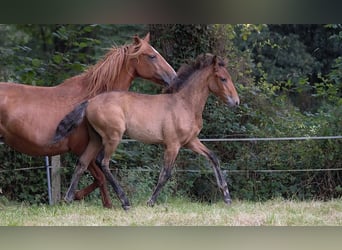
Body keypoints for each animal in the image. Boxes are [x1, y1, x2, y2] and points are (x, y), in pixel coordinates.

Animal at [0, 33, 176, 209]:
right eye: (152, 56)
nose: (174, 77)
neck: (92, 98)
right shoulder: (82, 148)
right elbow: (100, 177)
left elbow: (97, 177)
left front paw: (100, 203)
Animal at [54, 53, 240, 209]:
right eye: (223, 78)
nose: (236, 102)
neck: (185, 104)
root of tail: (90, 101)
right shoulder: (173, 145)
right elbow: (165, 174)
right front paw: (150, 201)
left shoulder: (190, 142)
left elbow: (213, 157)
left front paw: (227, 197)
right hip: (113, 137)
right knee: (103, 162)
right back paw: (125, 202)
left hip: (96, 139)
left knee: (82, 163)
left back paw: (68, 199)